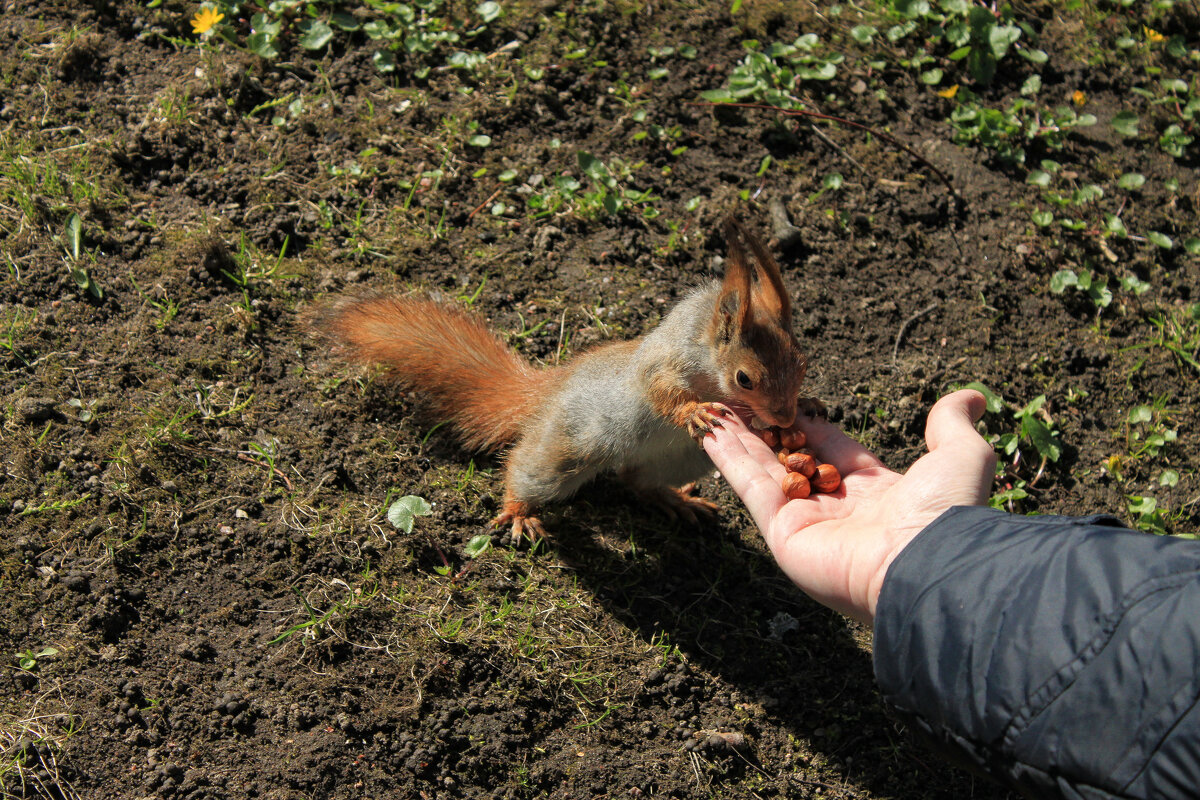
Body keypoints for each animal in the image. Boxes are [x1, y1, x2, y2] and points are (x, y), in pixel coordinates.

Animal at [314, 217, 816, 537]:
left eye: (804, 362)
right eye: (744, 378)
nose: (785, 418)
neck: (706, 351)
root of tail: (544, 394)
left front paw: (810, 406)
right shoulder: (663, 363)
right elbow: (660, 390)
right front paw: (694, 410)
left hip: (680, 459)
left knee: (636, 481)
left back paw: (676, 500)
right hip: (568, 446)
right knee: (528, 469)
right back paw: (518, 512)